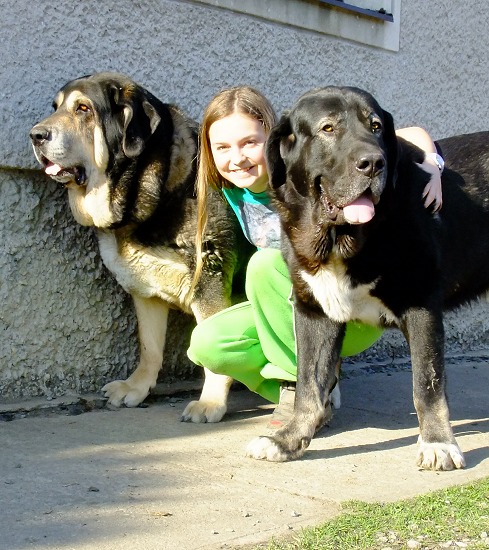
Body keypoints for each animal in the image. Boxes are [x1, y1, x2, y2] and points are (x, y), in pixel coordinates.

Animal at [248, 87, 488, 474]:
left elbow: (427, 385)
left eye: (375, 126)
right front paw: (287, 441)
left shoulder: (421, 306)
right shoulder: (313, 310)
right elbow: (308, 384)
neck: (341, 239)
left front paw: (438, 443)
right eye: (328, 128)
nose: (373, 163)